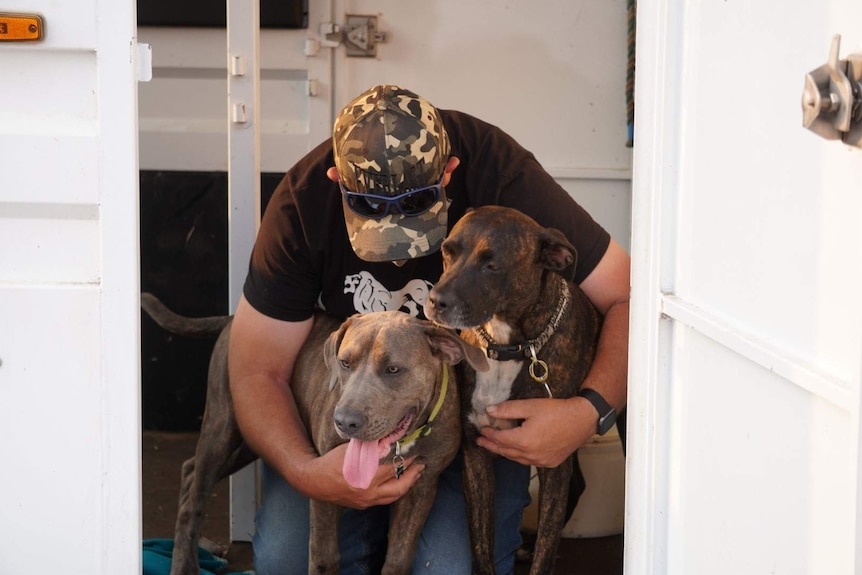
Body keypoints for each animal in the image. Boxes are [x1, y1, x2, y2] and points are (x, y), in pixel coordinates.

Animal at [143, 296, 492, 575]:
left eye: (394, 369)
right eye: (345, 363)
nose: (345, 421)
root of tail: (233, 319)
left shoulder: (422, 488)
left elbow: (397, 559)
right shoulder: (326, 486)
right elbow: (325, 557)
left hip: (250, 438)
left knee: (190, 471)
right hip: (224, 425)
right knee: (194, 497)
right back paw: (184, 564)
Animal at [426, 207, 600, 575]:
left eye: (493, 266)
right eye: (448, 250)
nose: (435, 301)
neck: (508, 345)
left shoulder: (553, 452)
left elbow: (545, 554)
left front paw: (541, 553)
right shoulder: (475, 457)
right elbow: (481, 547)